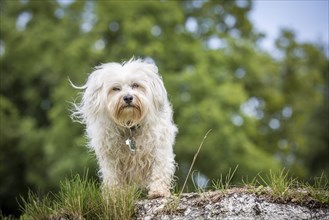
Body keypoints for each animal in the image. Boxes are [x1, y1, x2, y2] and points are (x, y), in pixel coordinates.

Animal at [72, 58, 177, 198]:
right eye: (116, 88)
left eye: (135, 85)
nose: (128, 97)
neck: (129, 125)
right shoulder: (110, 155)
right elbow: (113, 175)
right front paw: (114, 195)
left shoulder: (158, 147)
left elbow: (159, 168)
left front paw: (158, 191)